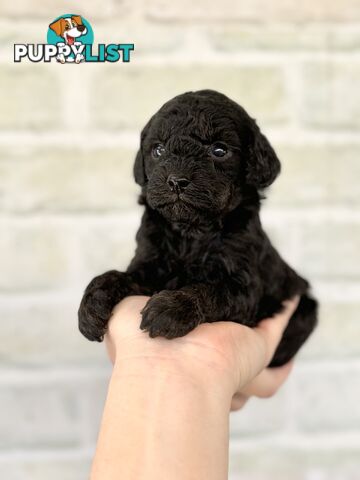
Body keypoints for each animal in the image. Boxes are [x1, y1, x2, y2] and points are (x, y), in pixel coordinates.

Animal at [77, 90, 316, 368]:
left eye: (219, 150)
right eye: (158, 150)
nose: (176, 181)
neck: (191, 232)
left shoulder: (245, 286)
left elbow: (212, 290)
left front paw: (171, 308)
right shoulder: (149, 265)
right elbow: (118, 276)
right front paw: (92, 303)